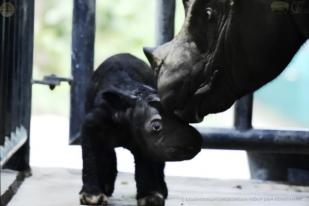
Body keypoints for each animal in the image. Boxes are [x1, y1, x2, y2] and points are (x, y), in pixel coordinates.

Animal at [78, 53, 201, 206]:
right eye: (156, 126)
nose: (197, 142)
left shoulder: (147, 142)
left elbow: (147, 164)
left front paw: (151, 198)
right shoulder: (91, 126)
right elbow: (91, 156)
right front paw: (92, 197)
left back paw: (162, 191)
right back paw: (106, 188)